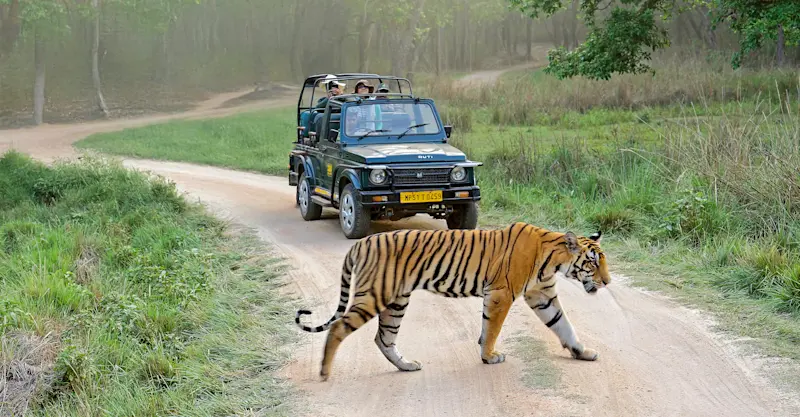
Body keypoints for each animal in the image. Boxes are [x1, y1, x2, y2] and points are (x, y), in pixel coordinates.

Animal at [295, 222, 611, 381]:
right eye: (592, 263)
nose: (608, 282)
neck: (553, 260)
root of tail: (360, 242)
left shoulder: (542, 296)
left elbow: (564, 325)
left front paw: (582, 352)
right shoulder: (501, 293)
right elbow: (492, 329)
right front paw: (489, 357)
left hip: (397, 301)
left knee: (383, 338)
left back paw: (406, 366)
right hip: (374, 295)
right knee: (339, 328)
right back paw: (324, 372)